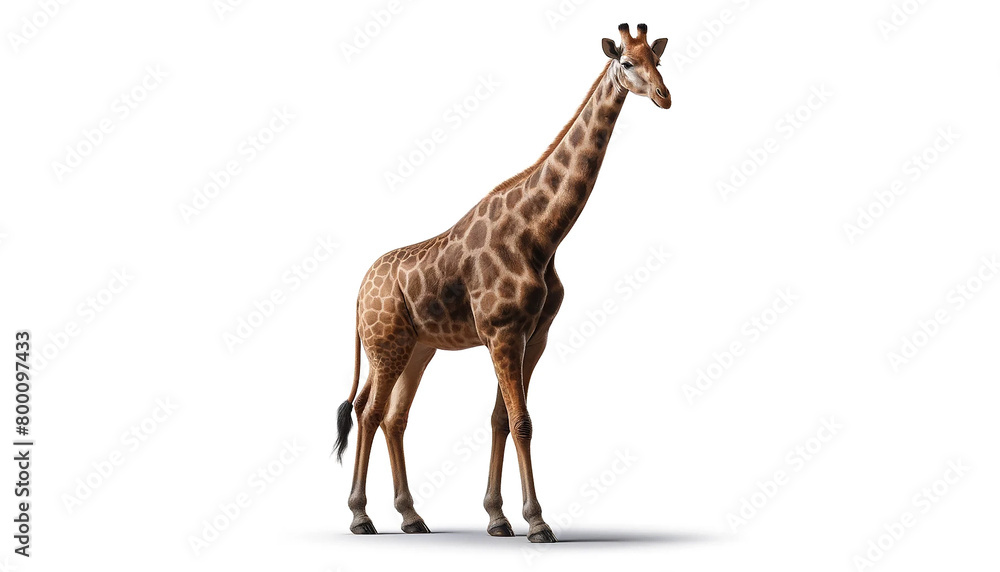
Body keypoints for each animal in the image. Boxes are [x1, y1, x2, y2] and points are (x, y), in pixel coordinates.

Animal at [333, 23, 670, 543]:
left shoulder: (534, 335)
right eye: (627, 63)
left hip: (416, 347)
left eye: (659, 60)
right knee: (369, 413)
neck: (542, 235)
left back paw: (411, 516)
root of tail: (358, 292)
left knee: (393, 417)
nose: (663, 96)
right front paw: (537, 522)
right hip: (385, 344)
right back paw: (360, 517)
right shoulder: (503, 332)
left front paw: (497, 517)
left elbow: (500, 421)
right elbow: (522, 421)